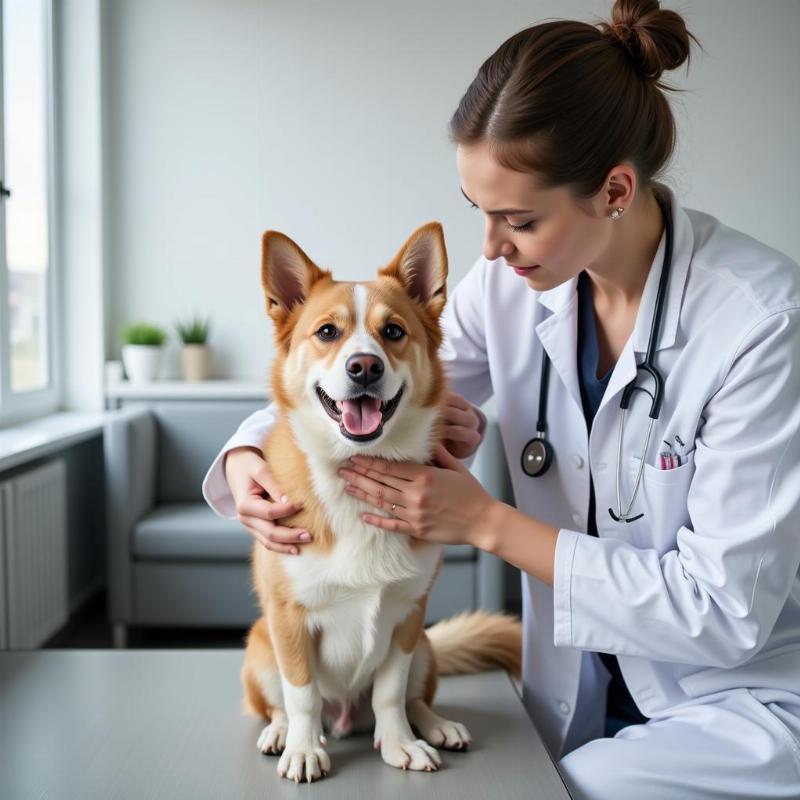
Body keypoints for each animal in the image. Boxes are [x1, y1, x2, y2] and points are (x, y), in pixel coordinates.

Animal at [241, 222, 520, 784]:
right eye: (328, 332)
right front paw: (302, 749)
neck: (353, 467)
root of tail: (346, 716)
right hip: (260, 647)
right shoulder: (288, 621)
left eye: (392, 332)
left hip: (427, 649)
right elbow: (302, 695)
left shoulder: (407, 618)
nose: (364, 367)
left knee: (413, 698)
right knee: (280, 704)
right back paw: (282, 733)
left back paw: (435, 725)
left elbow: (390, 693)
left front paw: (400, 744)